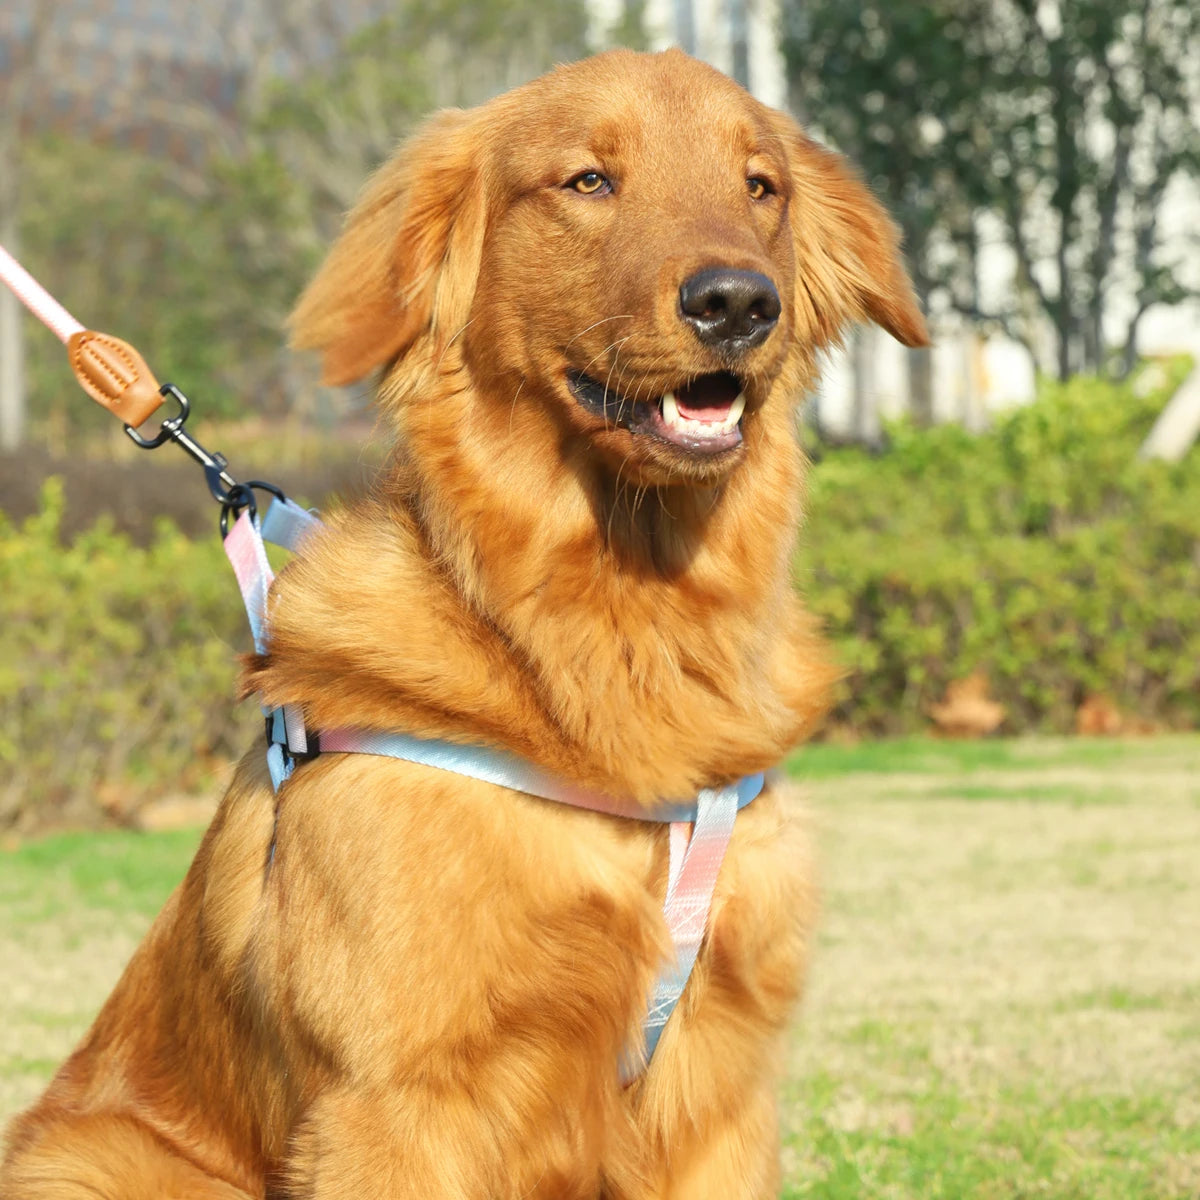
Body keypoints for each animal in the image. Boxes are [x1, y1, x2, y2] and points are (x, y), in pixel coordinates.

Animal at [0, 46, 921, 1200]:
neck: (617, 624)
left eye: (761, 187)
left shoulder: (719, 1097)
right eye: (588, 181)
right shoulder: (394, 1100)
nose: (738, 304)